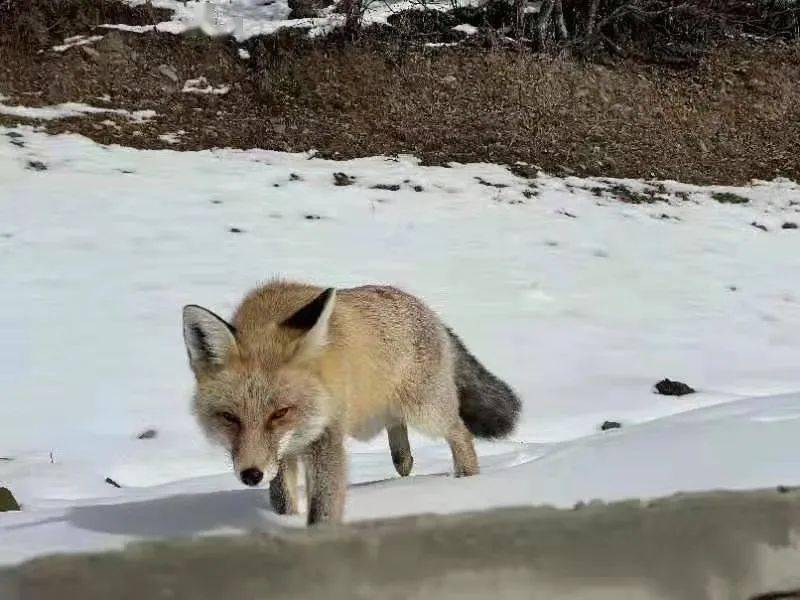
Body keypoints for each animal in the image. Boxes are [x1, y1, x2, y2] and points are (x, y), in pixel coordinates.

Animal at [180, 282, 520, 524]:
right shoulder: (283, 454)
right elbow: (283, 501)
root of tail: (425, 308)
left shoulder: (324, 435)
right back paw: (403, 458)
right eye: (229, 417)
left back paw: (467, 481)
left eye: (280, 413)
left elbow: (323, 508)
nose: (251, 476)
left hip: (426, 410)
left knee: (460, 432)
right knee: (398, 426)